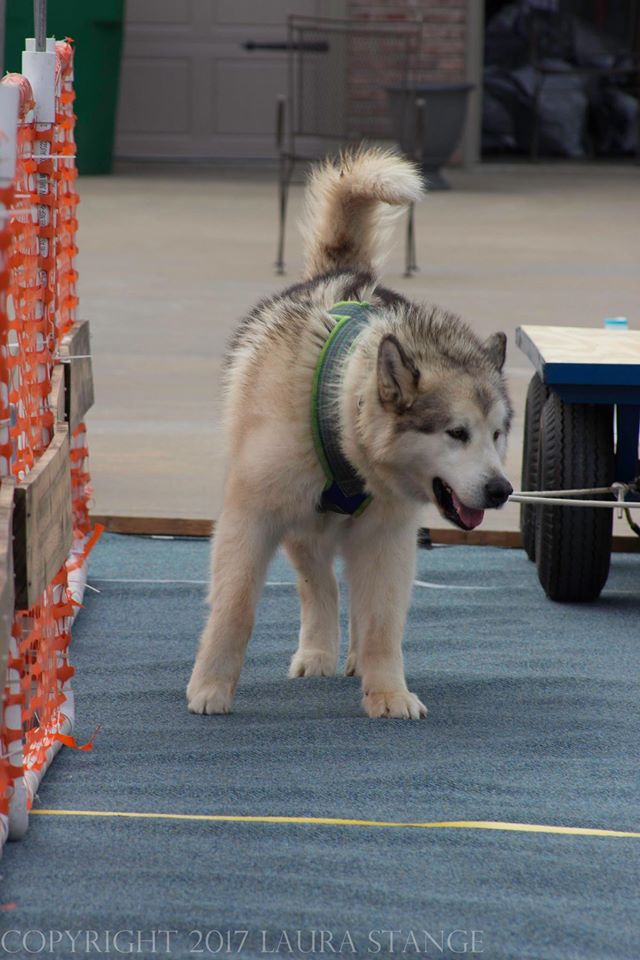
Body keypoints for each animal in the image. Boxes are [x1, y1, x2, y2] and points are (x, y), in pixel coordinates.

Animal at [188, 146, 512, 720]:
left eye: (498, 434)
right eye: (456, 432)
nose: (501, 490)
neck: (344, 423)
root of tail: (344, 273)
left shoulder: (386, 537)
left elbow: (383, 620)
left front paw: (388, 691)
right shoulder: (251, 518)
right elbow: (235, 608)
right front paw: (211, 686)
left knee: (355, 598)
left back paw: (356, 659)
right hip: (303, 525)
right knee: (319, 586)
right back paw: (317, 650)